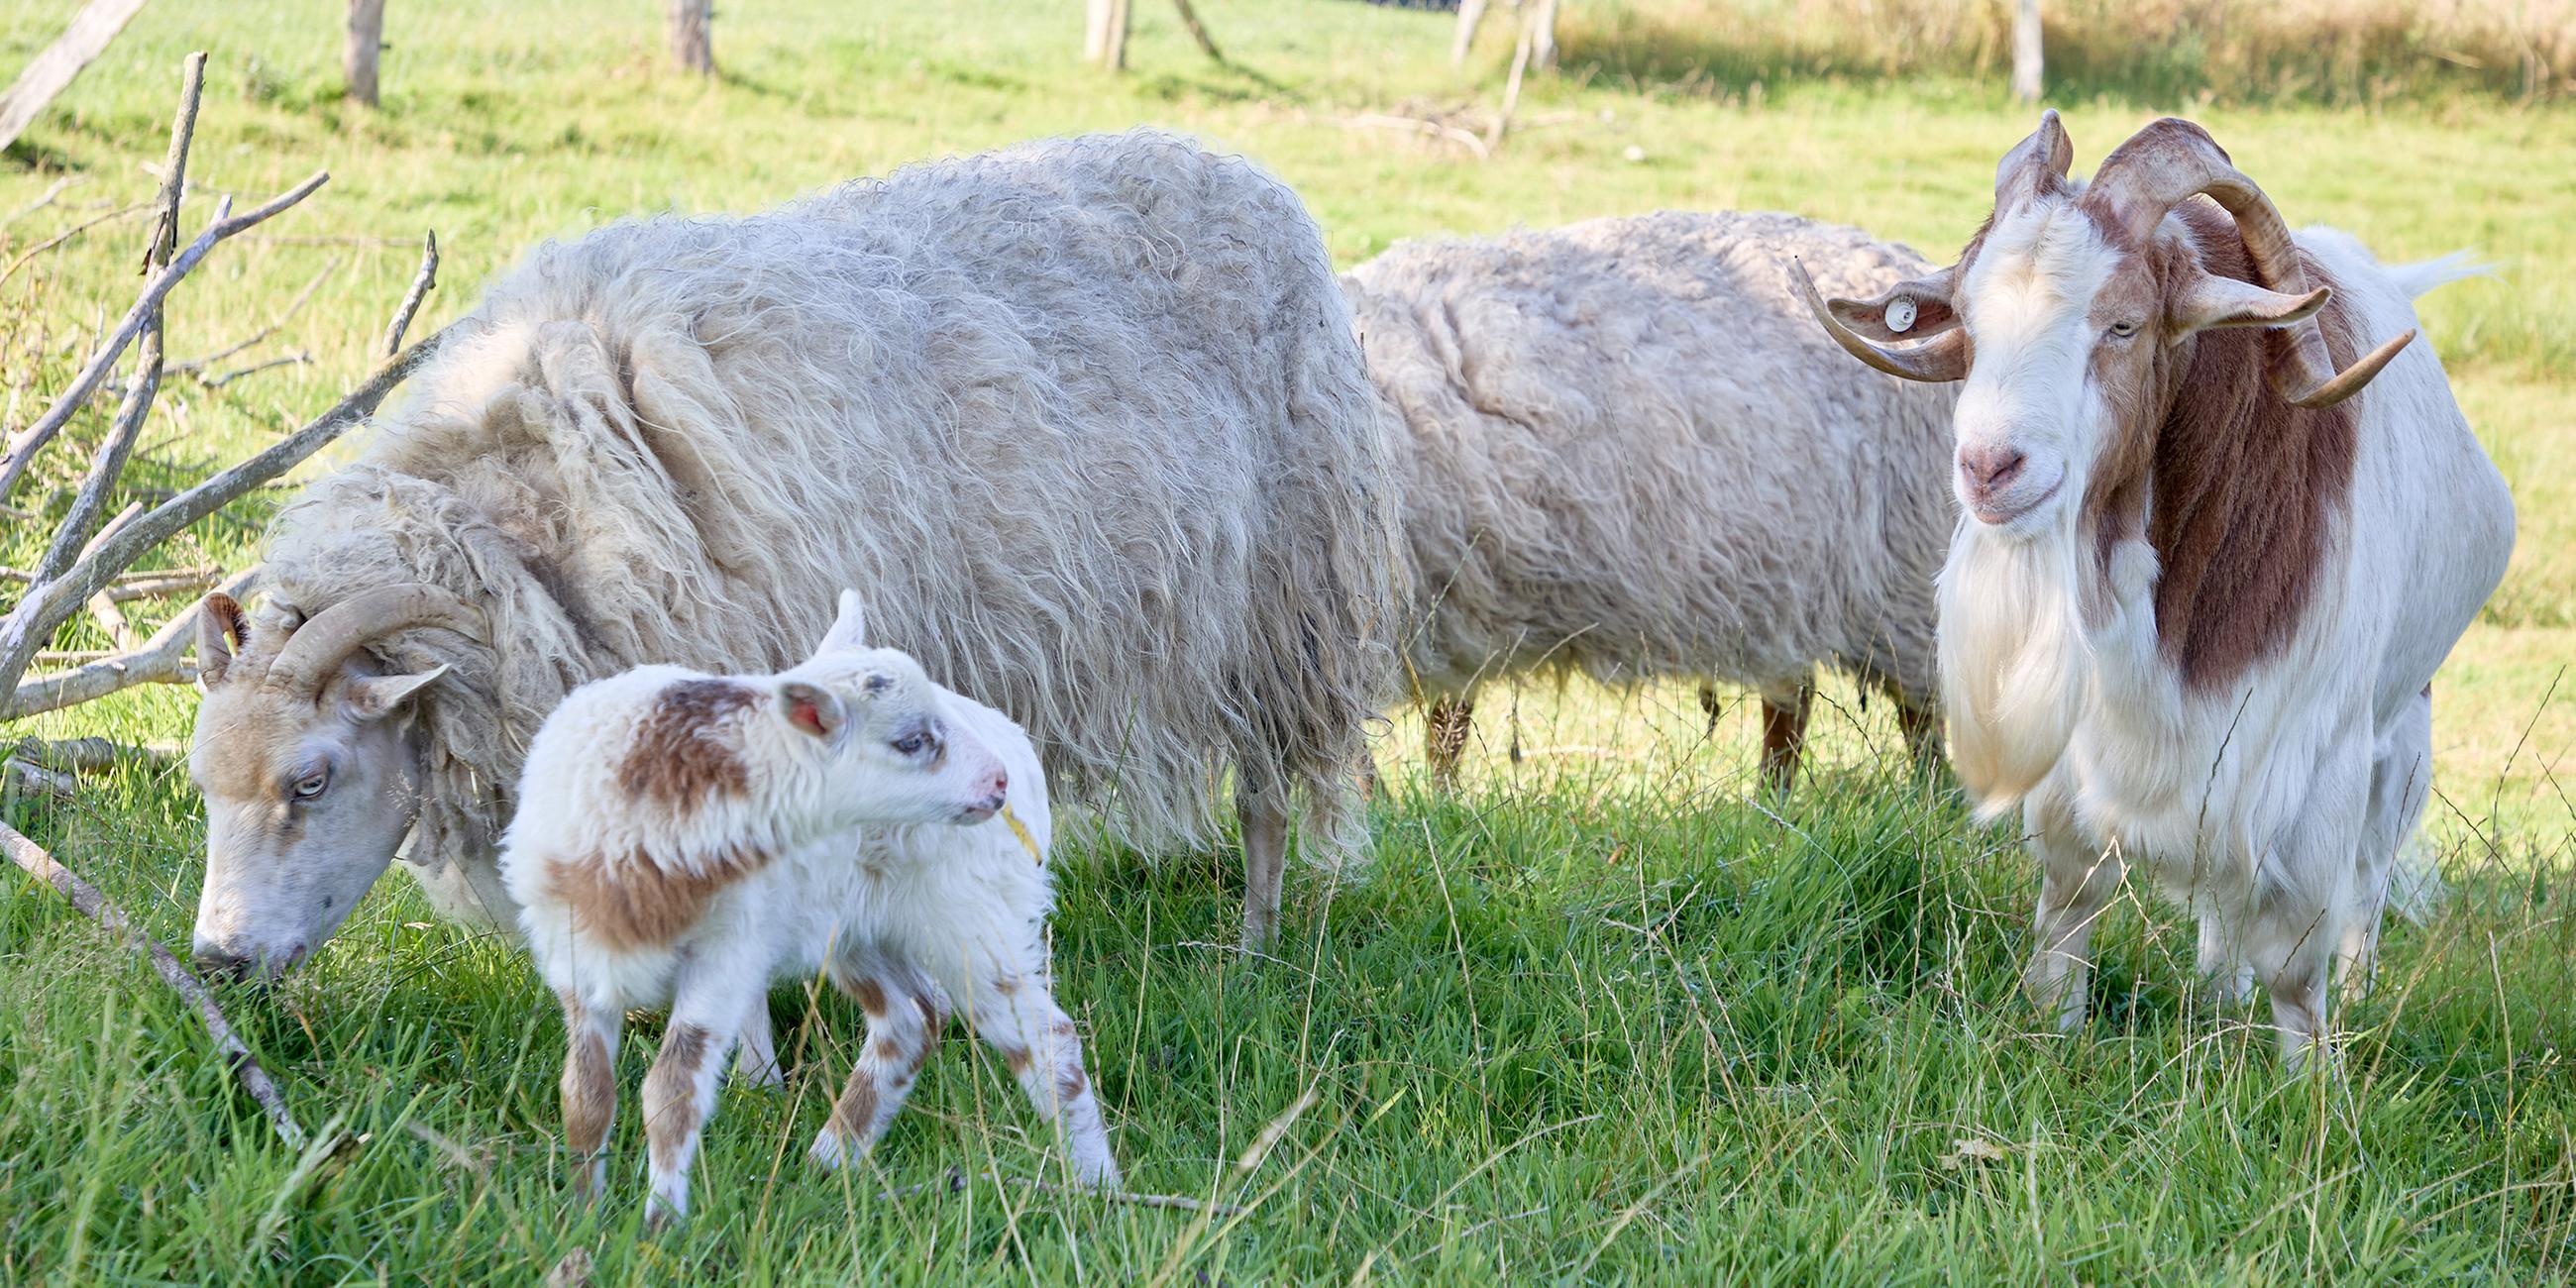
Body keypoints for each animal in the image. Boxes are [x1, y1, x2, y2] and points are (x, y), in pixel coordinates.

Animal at [496, 590, 1113, 1221]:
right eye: (911, 741)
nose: (996, 783)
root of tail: (1017, 748)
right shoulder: (576, 960)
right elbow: (585, 1094)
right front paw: (580, 1214)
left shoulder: (726, 957)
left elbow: (671, 1091)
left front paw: (658, 1224)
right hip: (855, 928)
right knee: (910, 1022)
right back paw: (827, 1164)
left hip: (967, 918)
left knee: (1047, 1042)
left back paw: (1095, 1187)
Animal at [1349, 213, 1947, 783]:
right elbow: (1440, 731)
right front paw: (1438, 800)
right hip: (1790, 584)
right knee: (1791, 704)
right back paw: (1770, 807)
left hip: (1906, 579)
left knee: (1922, 714)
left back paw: (1927, 798)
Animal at [1792, 113, 2514, 1066]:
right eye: (1972, 326)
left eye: (2124, 325)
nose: (1989, 467)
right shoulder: (2087, 759)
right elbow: (2068, 909)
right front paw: (2054, 1035)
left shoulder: (2308, 757)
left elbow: (2297, 964)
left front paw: (2311, 1087)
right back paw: (2218, 1000)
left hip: (2402, 729)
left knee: (2364, 886)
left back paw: (2349, 999)